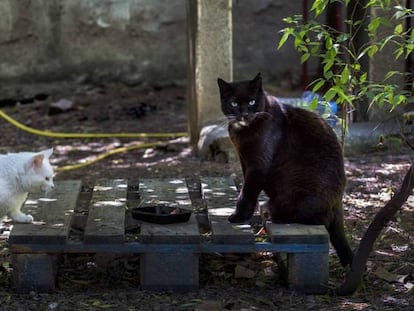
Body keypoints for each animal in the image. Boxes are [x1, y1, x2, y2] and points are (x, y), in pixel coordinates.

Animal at [217, 73, 352, 268]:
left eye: (252, 101)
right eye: (234, 103)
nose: (244, 114)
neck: (242, 131)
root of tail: (338, 202)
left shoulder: (258, 165)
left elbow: (247, 192)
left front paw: (239, 216)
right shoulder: (244, 161)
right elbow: (247, 189)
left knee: (319, 220)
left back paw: (278, 217)